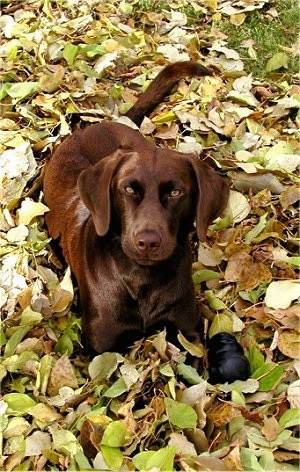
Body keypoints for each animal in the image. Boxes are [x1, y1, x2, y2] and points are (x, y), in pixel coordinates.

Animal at [43, 60, 250, 384]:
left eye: (176, 192)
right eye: (128, 189)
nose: (148, 242)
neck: (142, 278)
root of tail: (106, 122)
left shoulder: (188, 330)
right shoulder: (101, 348)